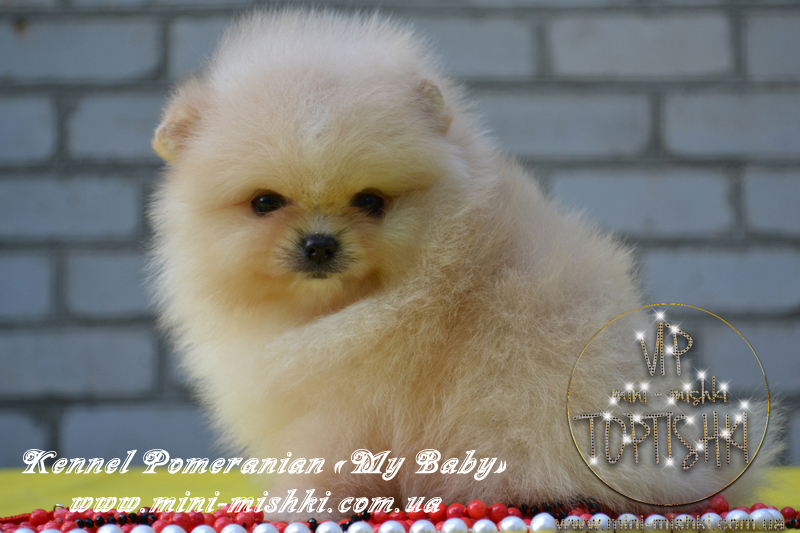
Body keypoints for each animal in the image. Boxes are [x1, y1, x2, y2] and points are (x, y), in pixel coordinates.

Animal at [149, 9, 777, 518]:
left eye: (370, 201)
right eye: (264, 203)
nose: (320, 244)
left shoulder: (347, 410)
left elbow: (328, 465)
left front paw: (297, 505)